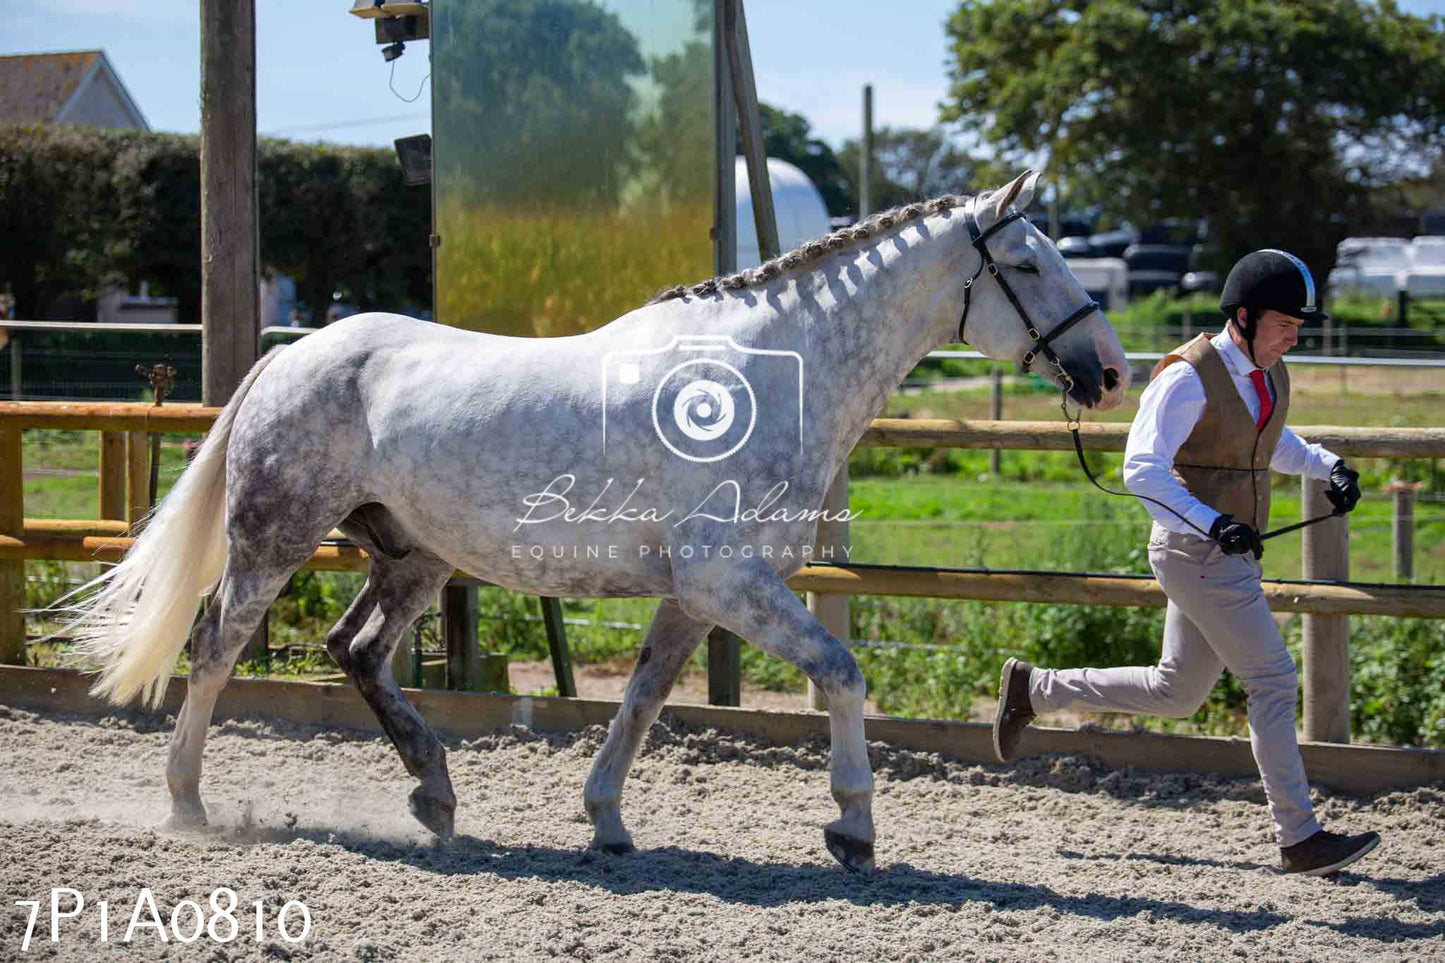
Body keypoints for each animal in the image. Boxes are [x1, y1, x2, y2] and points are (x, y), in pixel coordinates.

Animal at [67, 170, 1127, 867]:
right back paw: (187, 801)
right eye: (1027, 262)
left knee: (355, 648)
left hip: (414, 558)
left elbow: (644, 699)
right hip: (274, 538)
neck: (769, 374)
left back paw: (435, 790)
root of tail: (292, 354)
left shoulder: (695, 596)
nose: (1110, 371)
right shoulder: (727, 581)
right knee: (215, 646)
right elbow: (840, 672)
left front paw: (606, 819)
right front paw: (852, 825)